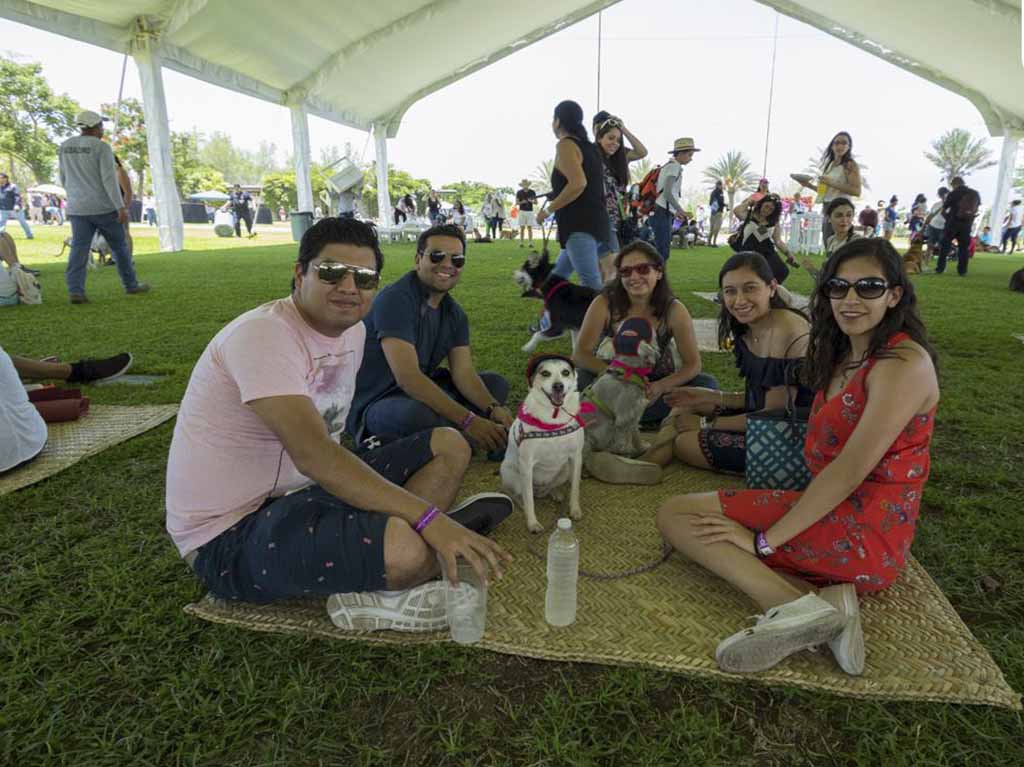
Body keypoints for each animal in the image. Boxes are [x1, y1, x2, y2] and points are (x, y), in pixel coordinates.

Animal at [499, 352, 589, 532]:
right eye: (545, 373)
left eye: (565, 372)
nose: (558, 386)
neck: (554, 417)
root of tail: (540, 489)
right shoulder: (527, 464)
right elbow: (530, 502)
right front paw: (532, 523)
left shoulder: (576, 457)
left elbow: (575, 489)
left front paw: (575, 510)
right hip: (511, 474)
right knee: (520, 494)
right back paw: (521, 503)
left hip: (565, 470)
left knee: (551, 487)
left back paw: (555, 493)